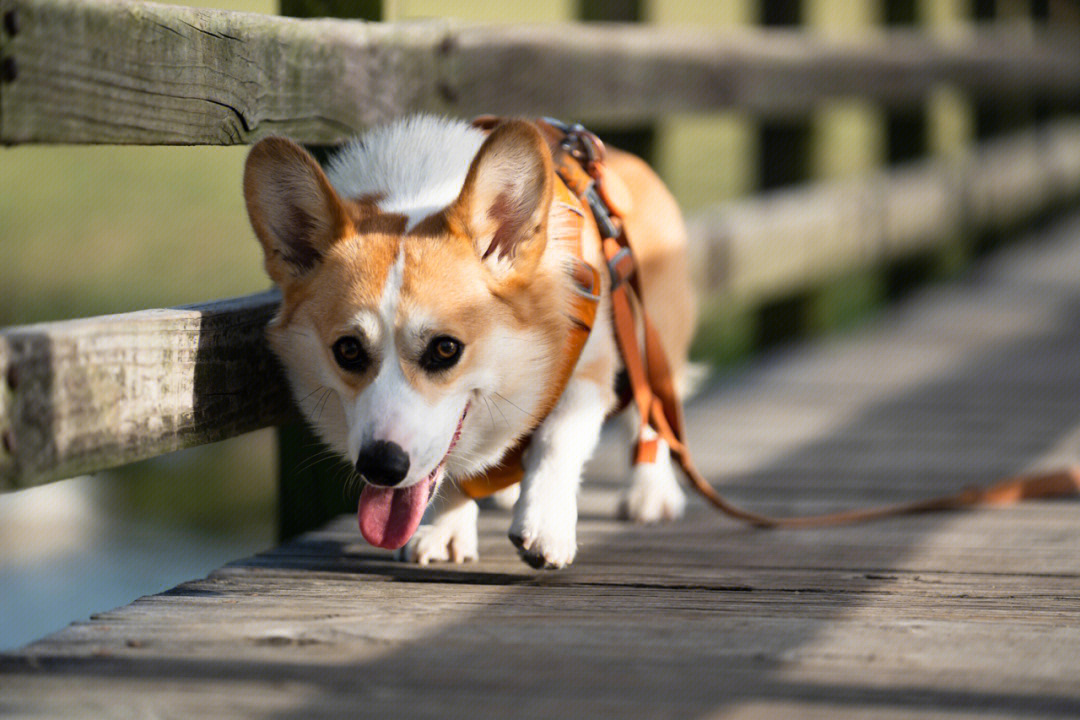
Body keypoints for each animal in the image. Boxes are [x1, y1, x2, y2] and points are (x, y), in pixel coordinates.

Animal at [244, 117, 695, 569]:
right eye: (348, 350)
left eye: (446, 349)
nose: (381, 467)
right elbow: (450, 469)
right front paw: (447, 530)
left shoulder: (589, 372)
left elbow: (556, 442)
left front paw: (545, 526)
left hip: (649, 340)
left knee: (650, 413)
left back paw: (650, 492)